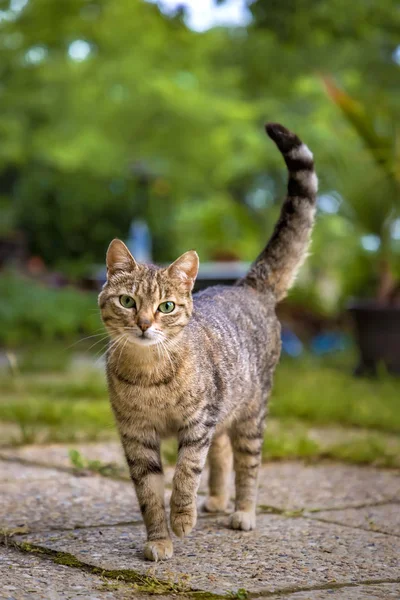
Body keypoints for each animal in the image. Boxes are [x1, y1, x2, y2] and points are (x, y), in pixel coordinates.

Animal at [98, 123, 318, 564]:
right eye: (127, 302)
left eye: (166, 306)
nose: (144, 324)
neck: (149, 373)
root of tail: (246, 284)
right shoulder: (136, 435)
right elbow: (149, 493)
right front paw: (159, 539)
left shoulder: (198, 422)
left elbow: (186, 472)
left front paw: (182, 518)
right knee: (222, 454)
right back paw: (216, 500)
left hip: (251, 412)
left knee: (247, 463)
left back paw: (242, 512)